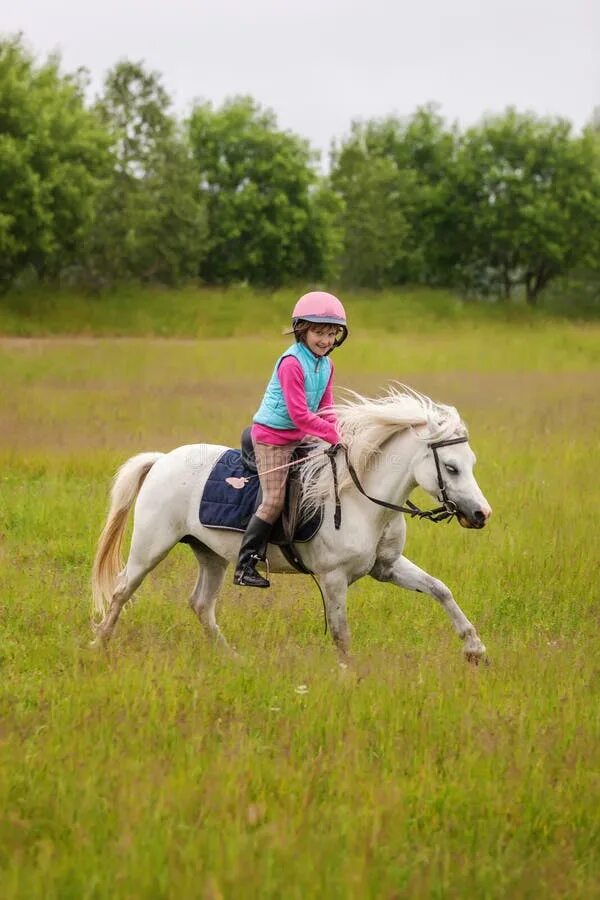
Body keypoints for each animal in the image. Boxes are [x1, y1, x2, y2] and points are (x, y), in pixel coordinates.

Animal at [90, 384, 492, 664]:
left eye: (472, 462)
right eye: (451, 467)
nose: (481, 515)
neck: (363, 500)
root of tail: (161, 460)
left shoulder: (386, 567)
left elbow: (440, 589)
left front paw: (475, 649)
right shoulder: (333, 578)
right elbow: (342, 634)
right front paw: (351, 676)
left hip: (210, 553)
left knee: (201, 604)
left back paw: (232, 658)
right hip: (150, 546)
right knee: (122, 590)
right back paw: (99, 644)